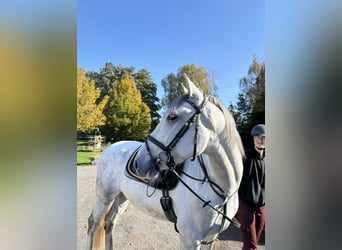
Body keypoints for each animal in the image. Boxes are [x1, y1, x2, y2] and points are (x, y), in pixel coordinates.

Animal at [87, 75, 244, 249]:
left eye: (172, 117)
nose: (137, 163)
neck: (222, 190)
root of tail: (110, 148)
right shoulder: (190, 239)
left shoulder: (211, 238)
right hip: (104, 197)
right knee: (93, 224)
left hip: (121, 198)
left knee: (109, 223)